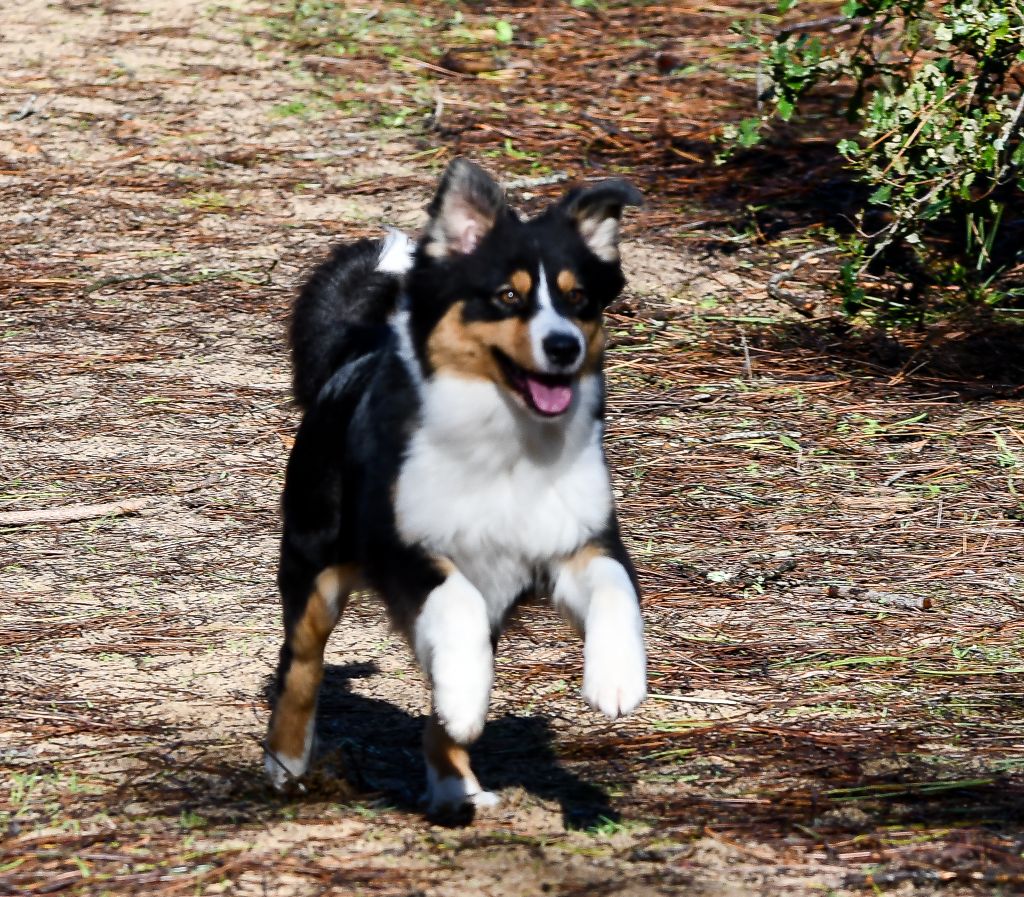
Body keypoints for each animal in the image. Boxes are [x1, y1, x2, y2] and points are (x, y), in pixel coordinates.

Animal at [265, 158, 647, 814]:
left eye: (578, 299)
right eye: (507, 296)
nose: (563, 347)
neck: (510, 446)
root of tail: (353, 351)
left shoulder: (578, 539)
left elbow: (615, 588)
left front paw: (617, 678)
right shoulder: (406, 546)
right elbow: (456, 601)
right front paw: (466, 700)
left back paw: (454, 784)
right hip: (314, 558)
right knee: (301, 664)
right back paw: (287, 762)